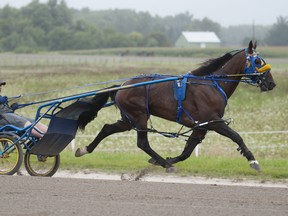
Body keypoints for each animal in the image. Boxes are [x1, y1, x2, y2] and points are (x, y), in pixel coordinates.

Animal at [75, 41, 276, 172]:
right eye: (258, 61)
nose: (271, 83)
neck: (213, 85)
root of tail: (122, 86)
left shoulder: (201, 126)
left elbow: (187, 151)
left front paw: (169, 158)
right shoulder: (214, 121)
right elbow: (237, 137)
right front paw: (253, 161)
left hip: (128, 118)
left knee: (107, 128)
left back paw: (84, 149)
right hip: (140, 115)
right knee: (142, 143)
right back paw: (166, 164)